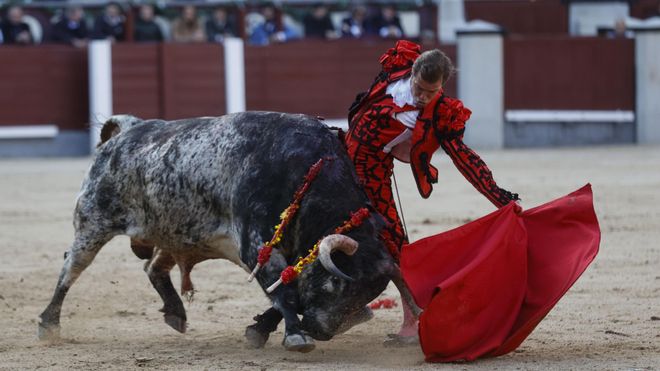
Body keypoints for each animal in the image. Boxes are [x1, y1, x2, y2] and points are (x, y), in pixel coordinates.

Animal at [37, 112, 418, 354]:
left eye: (368, 294)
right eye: (335, 283)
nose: (322, 331)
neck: (307, 173)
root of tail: (128, 131)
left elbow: (288, 291)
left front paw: (260, 330)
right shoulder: (256, 244)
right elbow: (286, 292)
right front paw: (295, 337)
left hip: (174, 232)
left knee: (153, 268)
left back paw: (175, 312)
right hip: (93, 223)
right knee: (71, 268)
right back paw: (48, 324)